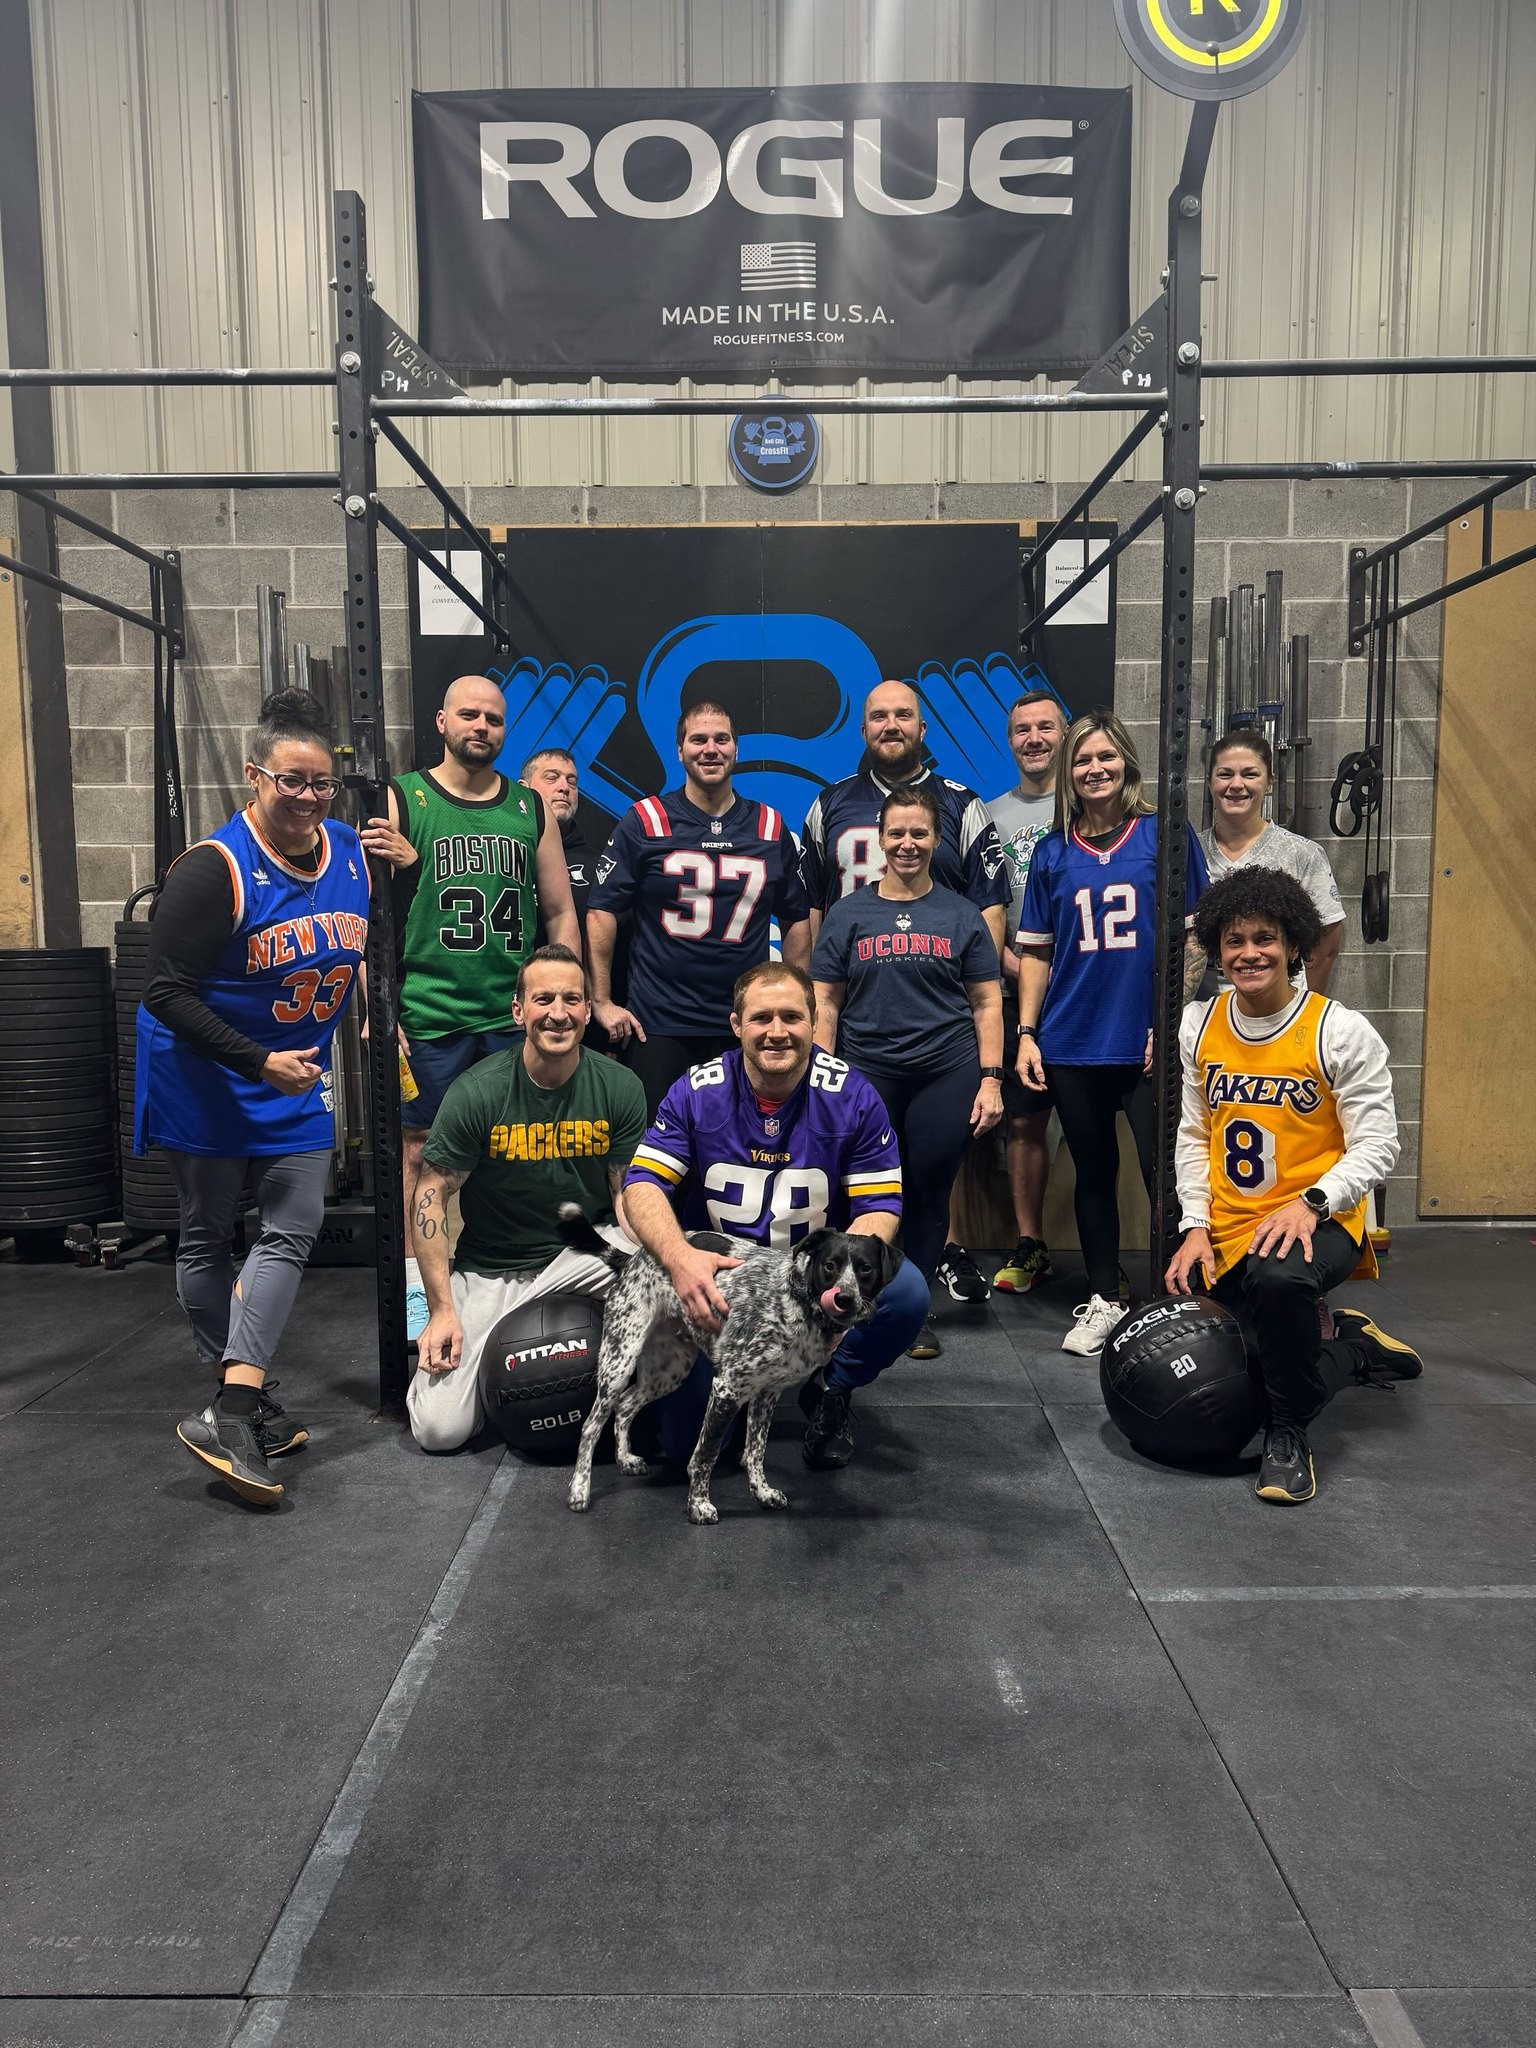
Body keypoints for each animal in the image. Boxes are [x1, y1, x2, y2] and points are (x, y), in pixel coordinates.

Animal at [558, 1205, 902, 1525]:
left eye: (866, 1269)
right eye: (829, 1265)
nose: (844, 1298)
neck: (796, 1302)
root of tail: (633, 1258)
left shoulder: (766, 1394)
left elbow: (756, 1450)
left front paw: (762, 1492)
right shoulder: (728, 1388)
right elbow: (705, 1454)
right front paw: (698, 1505)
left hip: (669, 1370)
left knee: (627, 1405)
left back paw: (625, 1459)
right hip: (620, 1358)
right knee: (591, 1426)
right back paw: (579, 1489)